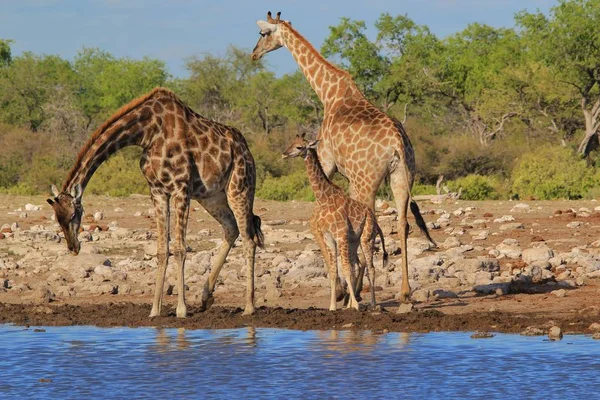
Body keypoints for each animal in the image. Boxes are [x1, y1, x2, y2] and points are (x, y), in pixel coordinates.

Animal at [45, 88, 262, 318]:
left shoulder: (181, 188)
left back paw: (249, 306)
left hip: (240, 187)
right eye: (57, 220)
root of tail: (245, 148)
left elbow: (180, 248)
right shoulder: (157, 191)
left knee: (249, 238)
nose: (73, 247)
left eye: (73, 215)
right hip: (211, 196)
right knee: (231, 228)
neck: (146, 133)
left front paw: (181, 309)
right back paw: (206, 297)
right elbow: (161, 250)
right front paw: (155, 310)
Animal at [282, 134, 390, 310]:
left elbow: (345, 269)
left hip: (366, 238)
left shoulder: (340, 234)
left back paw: (373, 304)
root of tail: (375, 221)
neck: (324, 199)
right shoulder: (329, 237)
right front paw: (333, 306)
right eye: (291, 142)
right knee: (356, 265)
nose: (284, 154)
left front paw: (356, 305)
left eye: (299, 147)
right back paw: (349, 304)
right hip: (353, 241)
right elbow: (333, 271)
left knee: (371, 268)